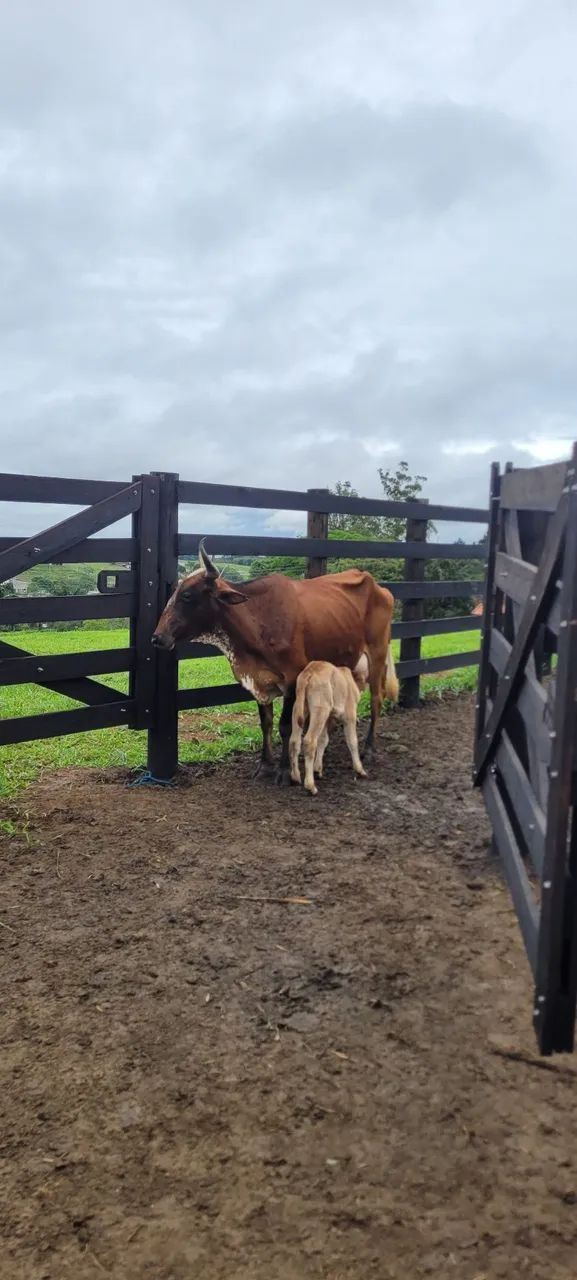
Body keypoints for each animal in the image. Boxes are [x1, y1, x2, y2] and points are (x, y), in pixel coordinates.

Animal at [289, 656, 369, 795]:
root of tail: (308, 672)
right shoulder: (350, 715)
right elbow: (352, 741)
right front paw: (360, 770)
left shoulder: (328, 718)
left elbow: (323, 739)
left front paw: (317, 769)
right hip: (320, 709)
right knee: (309, 741)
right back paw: (310, 786)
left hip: (299, 709)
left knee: (294, 741)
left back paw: (295, 777)